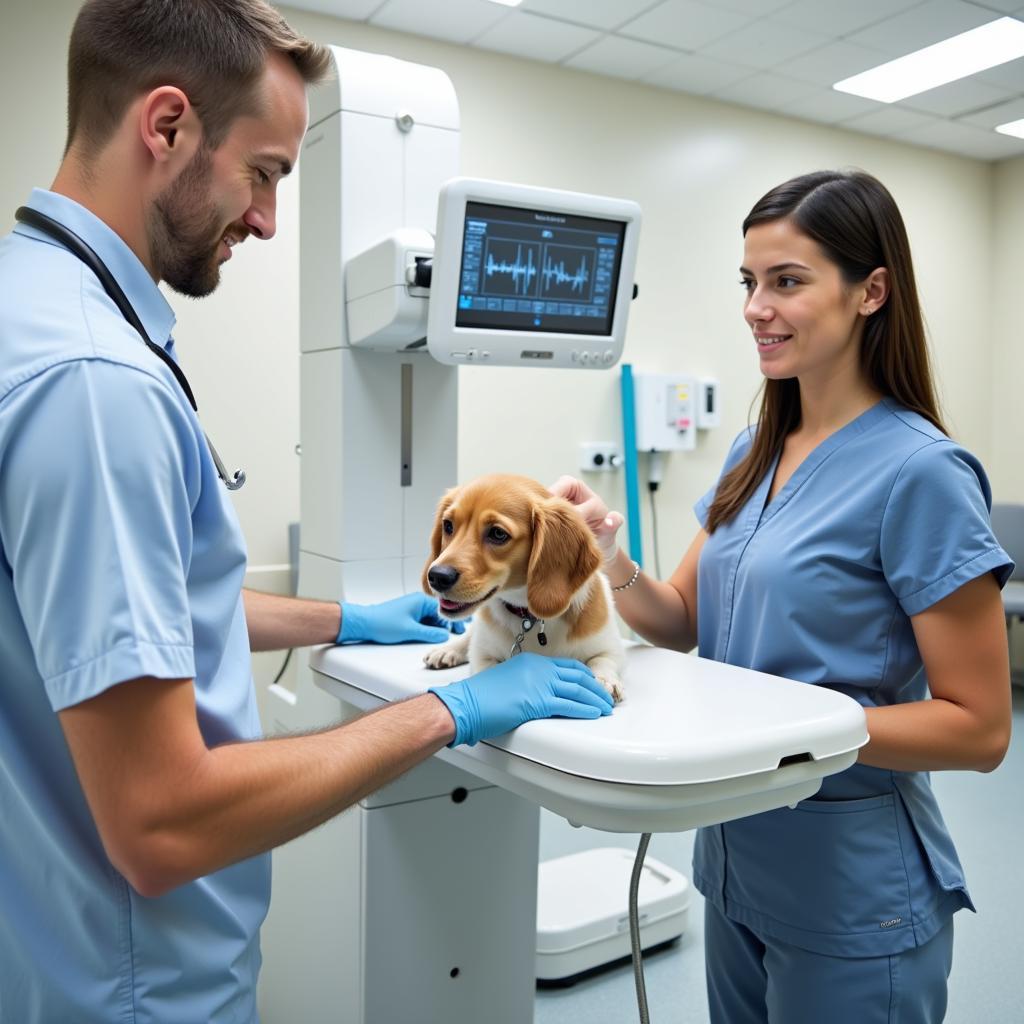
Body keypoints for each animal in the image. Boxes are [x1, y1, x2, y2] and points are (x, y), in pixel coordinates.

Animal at [421, 473, 622, 704]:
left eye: (498, 533)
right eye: (448, 526)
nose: (437, 577)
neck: (529, 618)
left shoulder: (610, 648)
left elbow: (603, 661)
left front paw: (604, 681)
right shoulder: (482, 656)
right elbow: (485, 668)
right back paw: (447, 650)